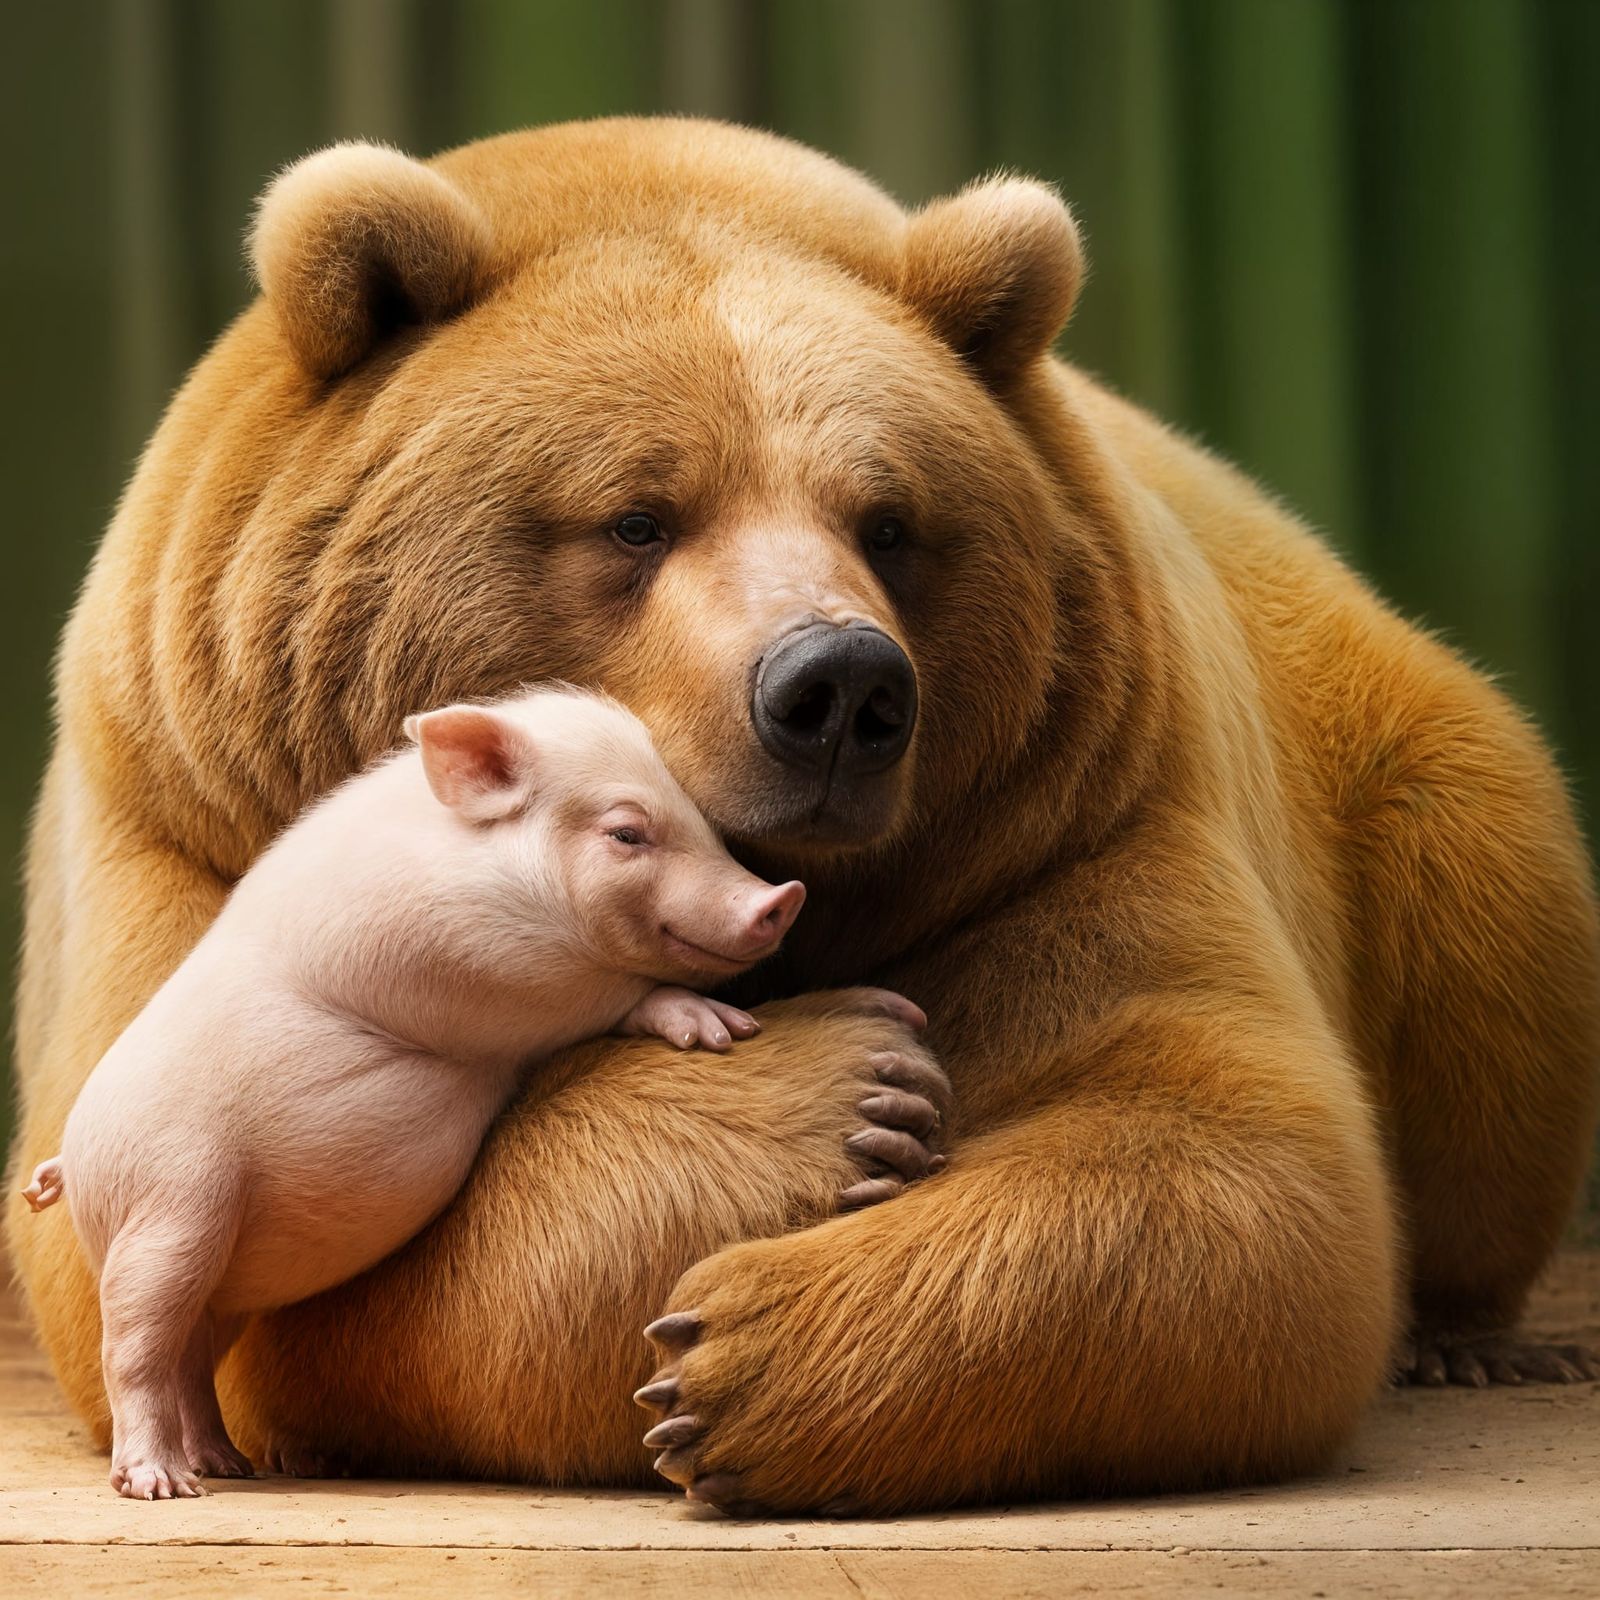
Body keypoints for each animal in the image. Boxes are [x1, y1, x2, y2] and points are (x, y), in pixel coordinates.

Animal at [21, 686, 831, 1500]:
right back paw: (164, 1486)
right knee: (134, 1347)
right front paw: (720, 1028)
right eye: (627, 832)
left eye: (697, 816)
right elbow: (613, 993)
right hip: (166, 1207)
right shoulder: (465, 971)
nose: (783, 896)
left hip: (218, 1278)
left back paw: (226, 1465)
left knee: (191, 1359)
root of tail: (73, 1159)